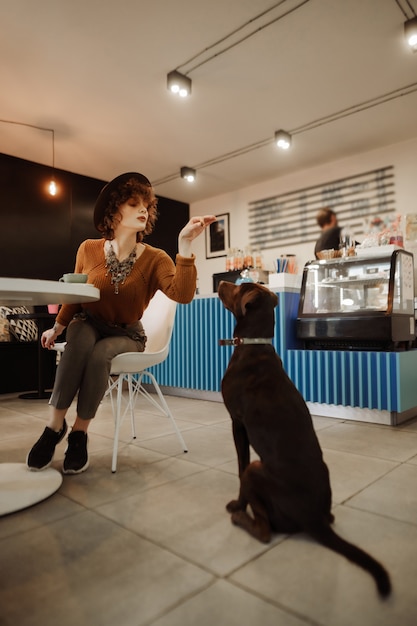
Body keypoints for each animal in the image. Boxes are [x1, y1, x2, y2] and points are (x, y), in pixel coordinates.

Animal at [218, 282, 390, 596]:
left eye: (238, 287)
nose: (221, 283)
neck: (254, 344)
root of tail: (313, 519)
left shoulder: (237, 423)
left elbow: (239, 466)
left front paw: (237, 504)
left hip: (257, 470)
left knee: (264, 530)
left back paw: (239, 518)